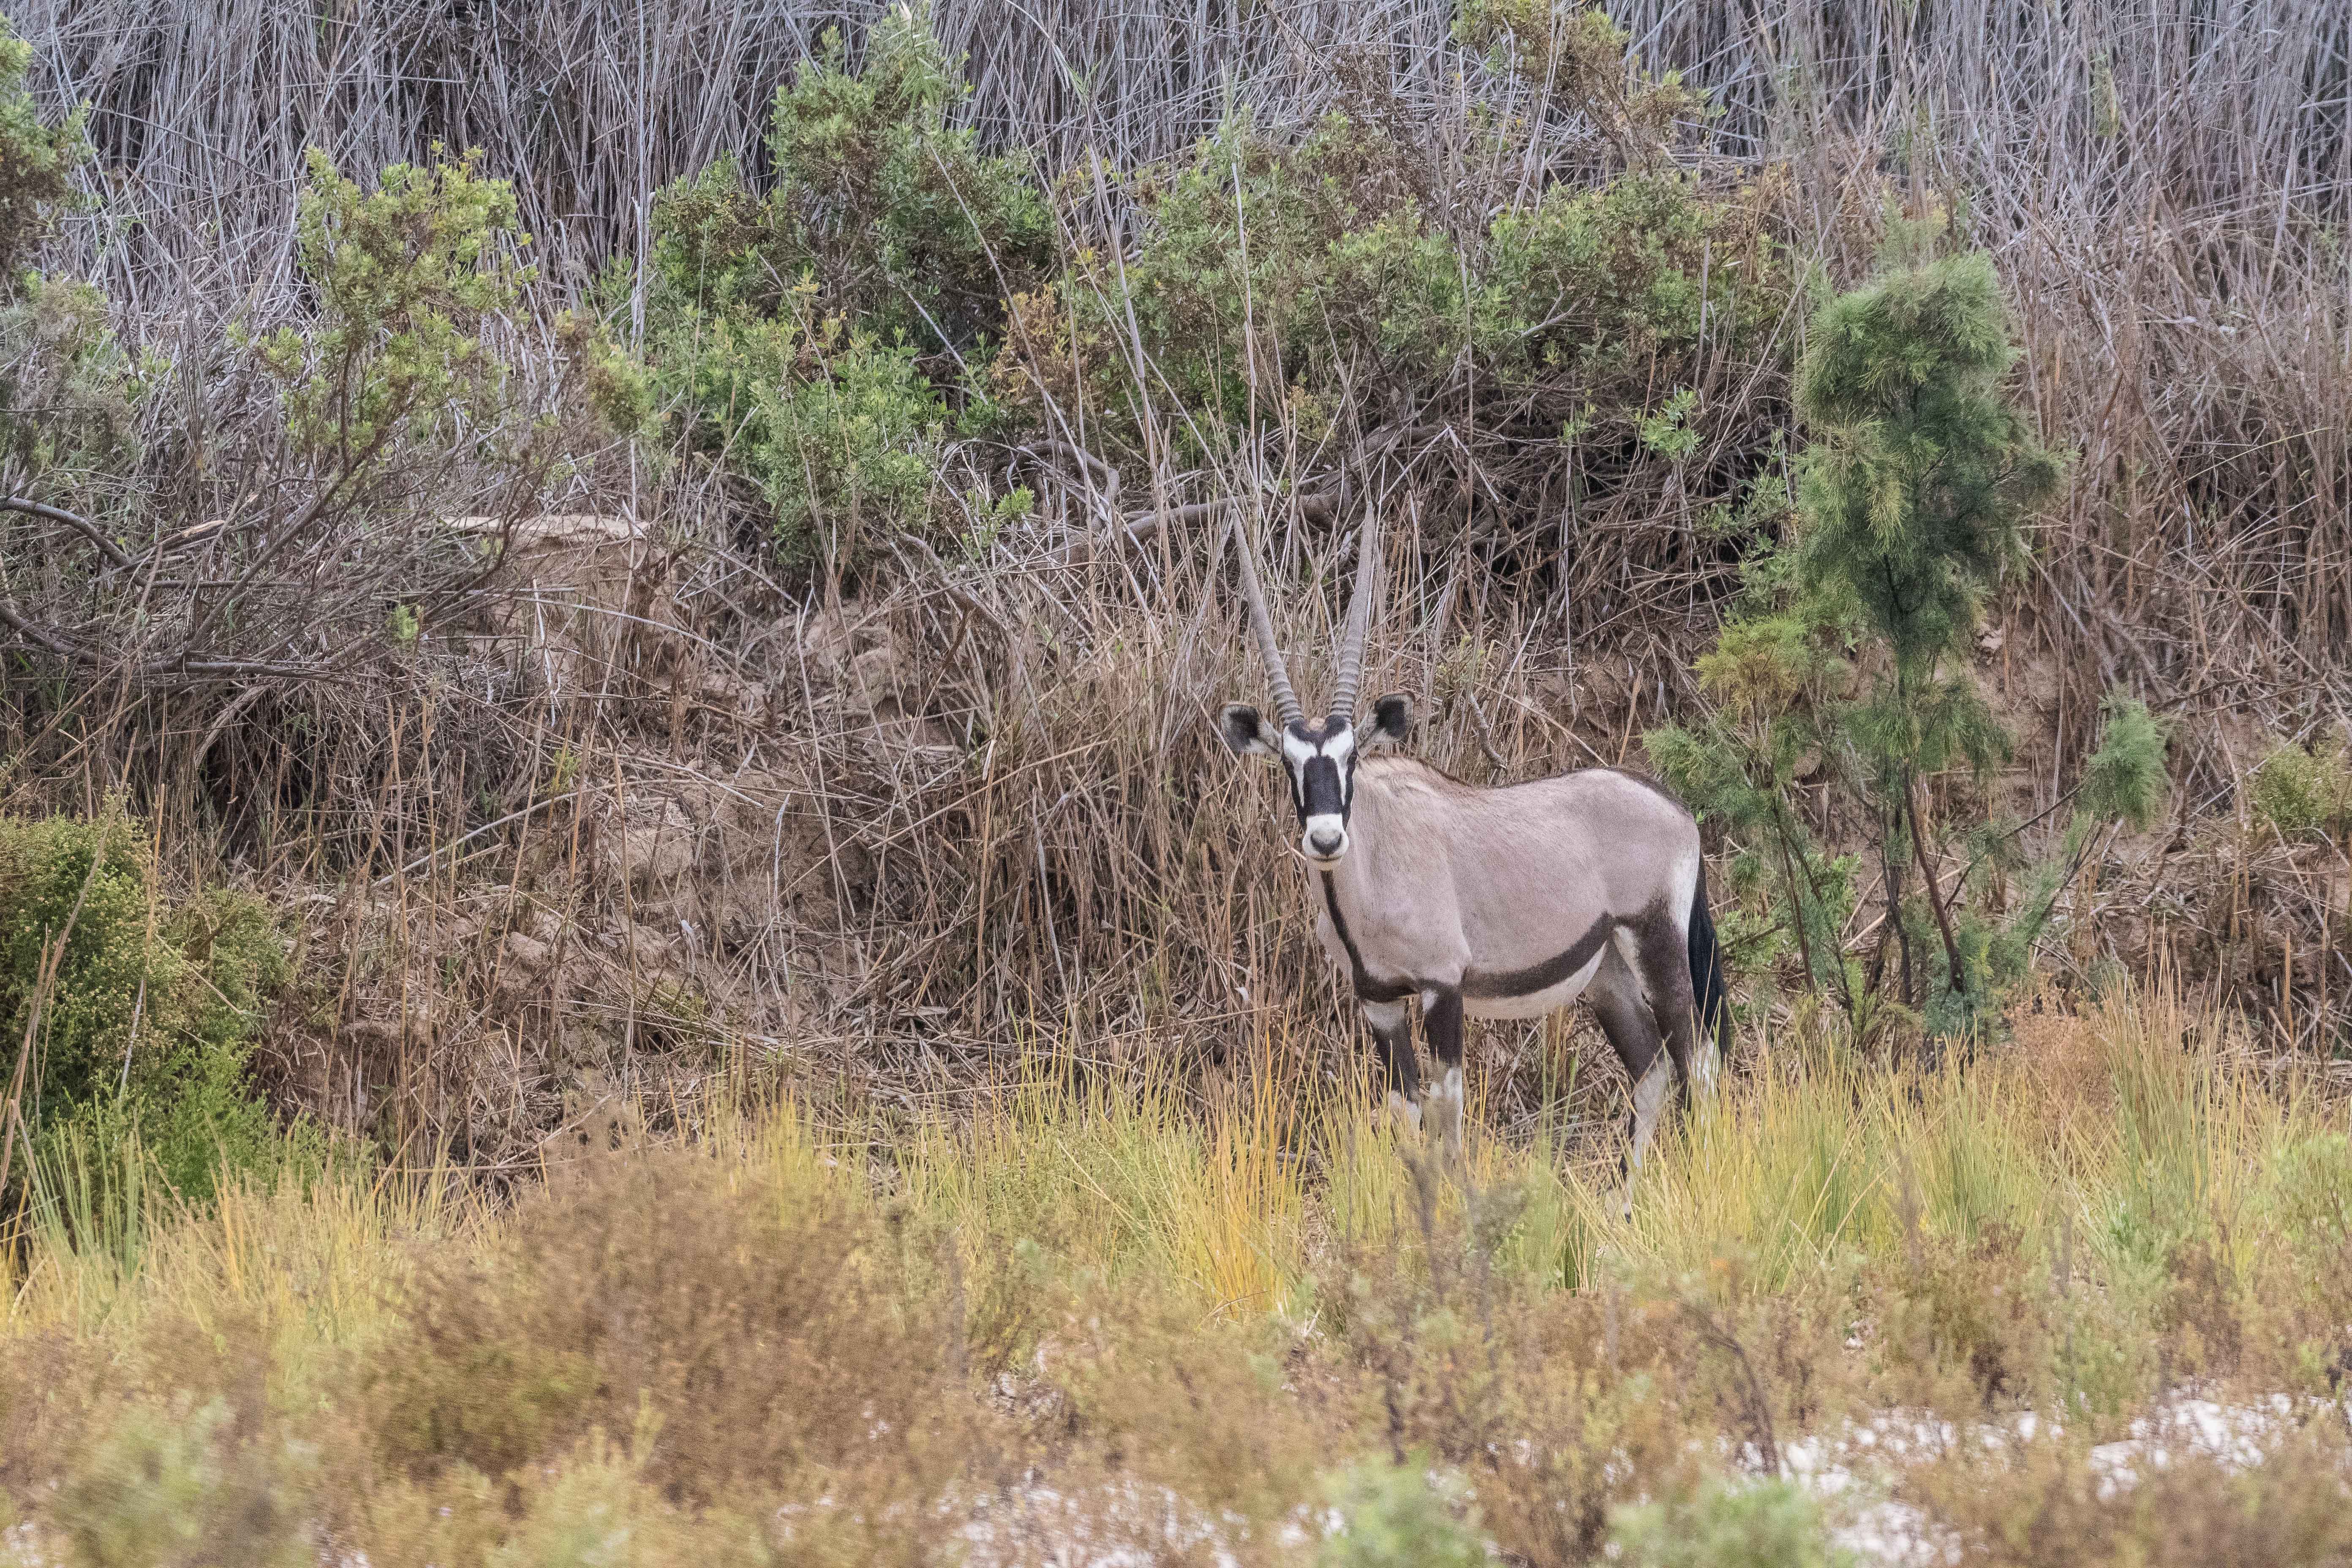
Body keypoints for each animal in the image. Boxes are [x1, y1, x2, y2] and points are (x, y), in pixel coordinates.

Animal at [1223, 510, 1740, 1194]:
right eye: (1289, 762)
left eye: (1351, 757)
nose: (1327, 839)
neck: (1375, 861)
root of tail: (1677, 811)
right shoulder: (1378, 1002)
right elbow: (1405, 1109)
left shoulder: (1444, 986)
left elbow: (1450, 1105)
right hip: (1608, 973)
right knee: (1652, 1070)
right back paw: (1620, 1207)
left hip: (1658, 946)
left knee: (1697, 1064)